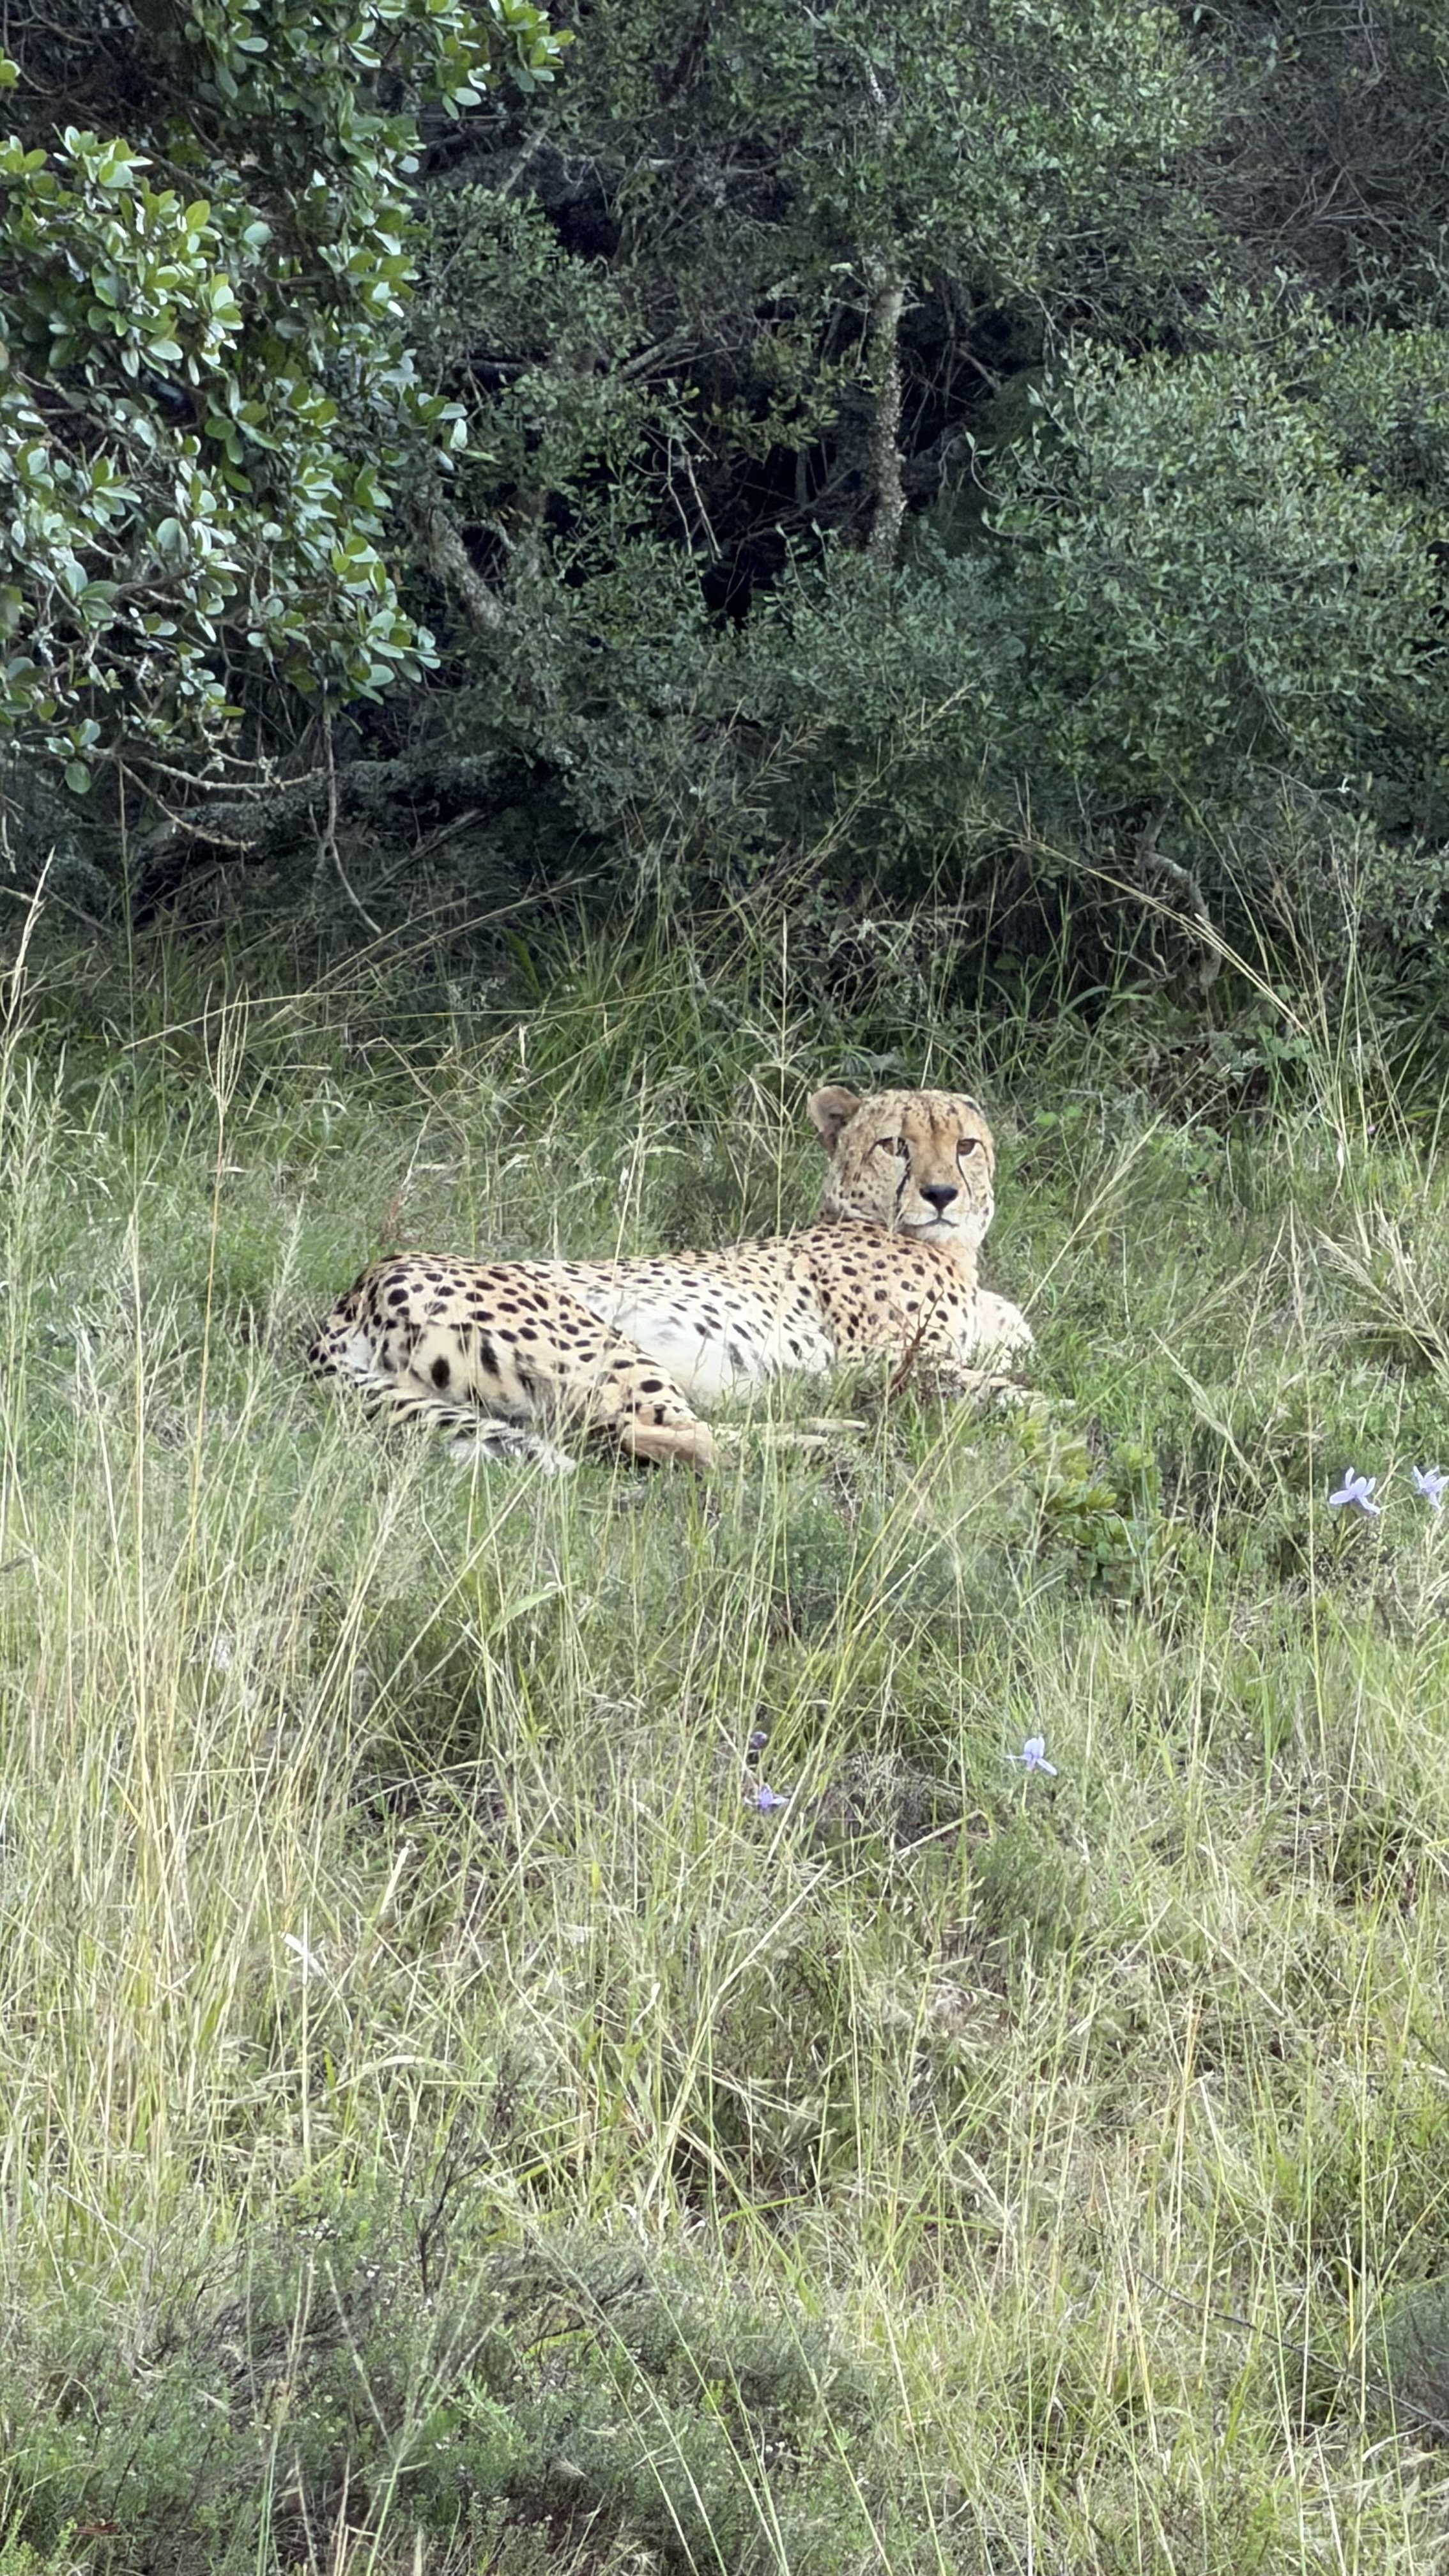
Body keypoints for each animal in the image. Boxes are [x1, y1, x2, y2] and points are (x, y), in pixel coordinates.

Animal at [307, 1083, 1033, 1472]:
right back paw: (823, 1442)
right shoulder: (887, 1362)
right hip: (601, 1340)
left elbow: (1009, 1356)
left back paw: (820, 1429)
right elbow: (999, 1387)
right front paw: (1039, 1412)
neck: (952, 1251)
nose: (942, 1194)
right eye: (895, 1146)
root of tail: (361, 1287)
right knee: (668, 1436)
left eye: (965, 1145)